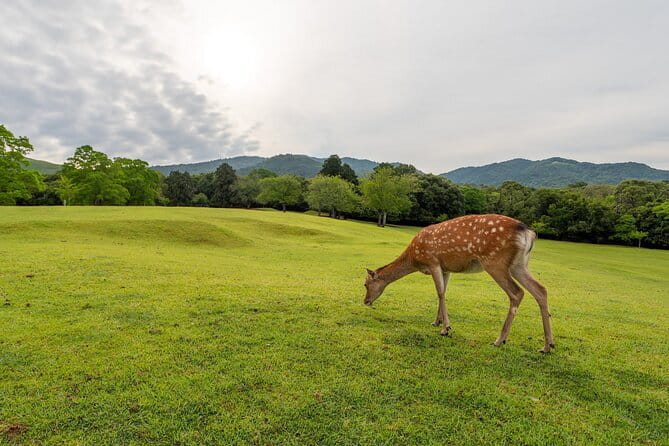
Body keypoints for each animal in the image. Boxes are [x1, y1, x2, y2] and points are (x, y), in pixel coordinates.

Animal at [364, 214, 555, 353]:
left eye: (365, 284)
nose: (365, 301)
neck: (414, 258)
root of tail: (528, 232)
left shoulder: (432, 261)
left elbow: (440, 292)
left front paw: (445, 328)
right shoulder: (445, 268)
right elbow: (443, 292)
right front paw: (437, 322)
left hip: (495, 262)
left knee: (517, 292)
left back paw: (499, 340)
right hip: (519, 264)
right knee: (541, 289)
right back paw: (547, 345)